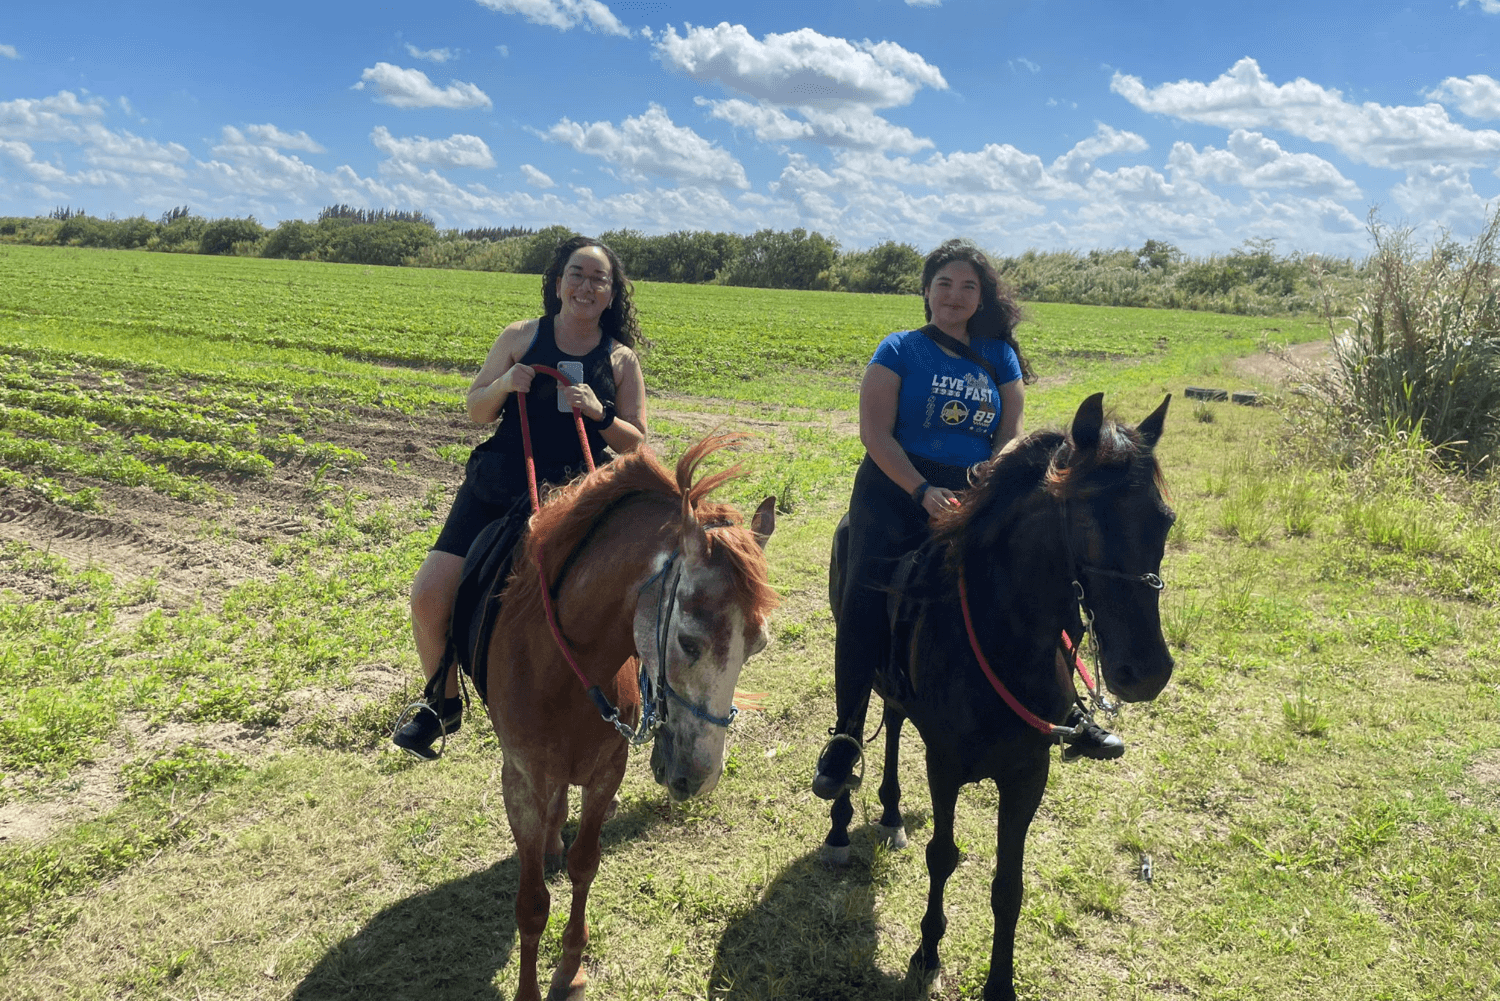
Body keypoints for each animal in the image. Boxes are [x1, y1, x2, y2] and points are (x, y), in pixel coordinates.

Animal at [486, 432, 780, 1001]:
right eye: (687, 641)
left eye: (756, 646)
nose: (700, 778)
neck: (561, 670)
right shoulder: (522, 783)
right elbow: (531, 906)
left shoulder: (606, 772)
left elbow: (585, 864)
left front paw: (570, 967)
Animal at [828, 390, 1176, 1001]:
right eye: (1086, 515)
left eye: (1164, 519)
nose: (1147, 671)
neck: (1005, 639)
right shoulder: (945, 766)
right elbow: (942, 856)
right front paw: (927, 953)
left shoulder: (1027, 774)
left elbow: (1007, 885)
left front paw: (1000, 984)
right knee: (853, 724)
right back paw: (841, 825)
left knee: (893, 724)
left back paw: (891, 813)